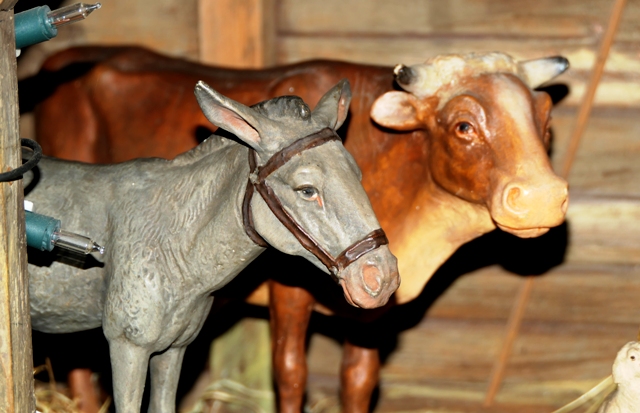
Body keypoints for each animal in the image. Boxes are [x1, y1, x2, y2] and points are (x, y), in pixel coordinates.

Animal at [27, 46, 568, 410]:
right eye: (463, 125)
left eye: (546, 118)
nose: (542, 197)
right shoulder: (287, 291)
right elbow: (290, 372)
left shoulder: (373, 312)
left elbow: (359, 378)